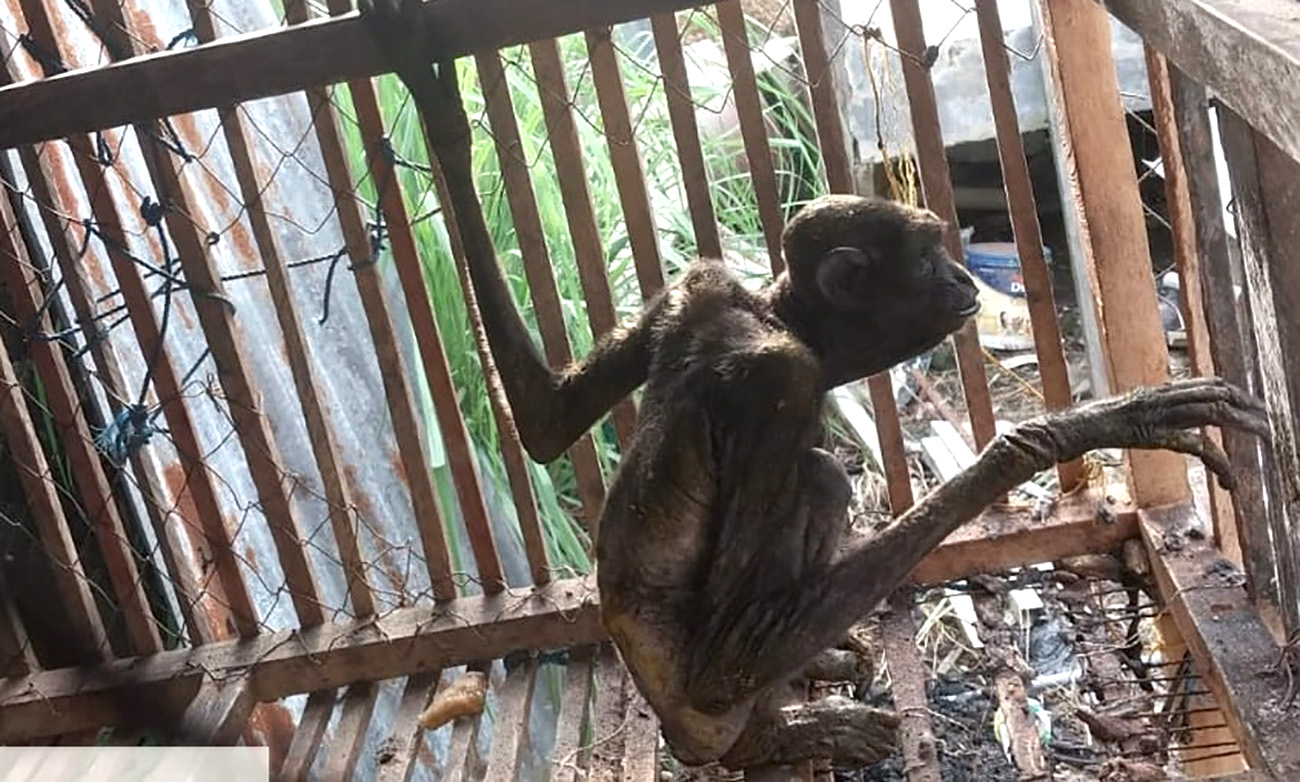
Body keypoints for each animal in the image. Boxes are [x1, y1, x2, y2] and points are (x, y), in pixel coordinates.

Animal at [359, 0, 1271, 769]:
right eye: (927, 254)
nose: (962, 279)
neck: (779, 317)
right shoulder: (780, 384)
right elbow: (727, 653)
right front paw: (1071, 431)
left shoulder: (695, 282)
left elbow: (547, 422)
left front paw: (437, 109)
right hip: (702, 716)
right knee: (817, 486)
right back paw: (773, 737)